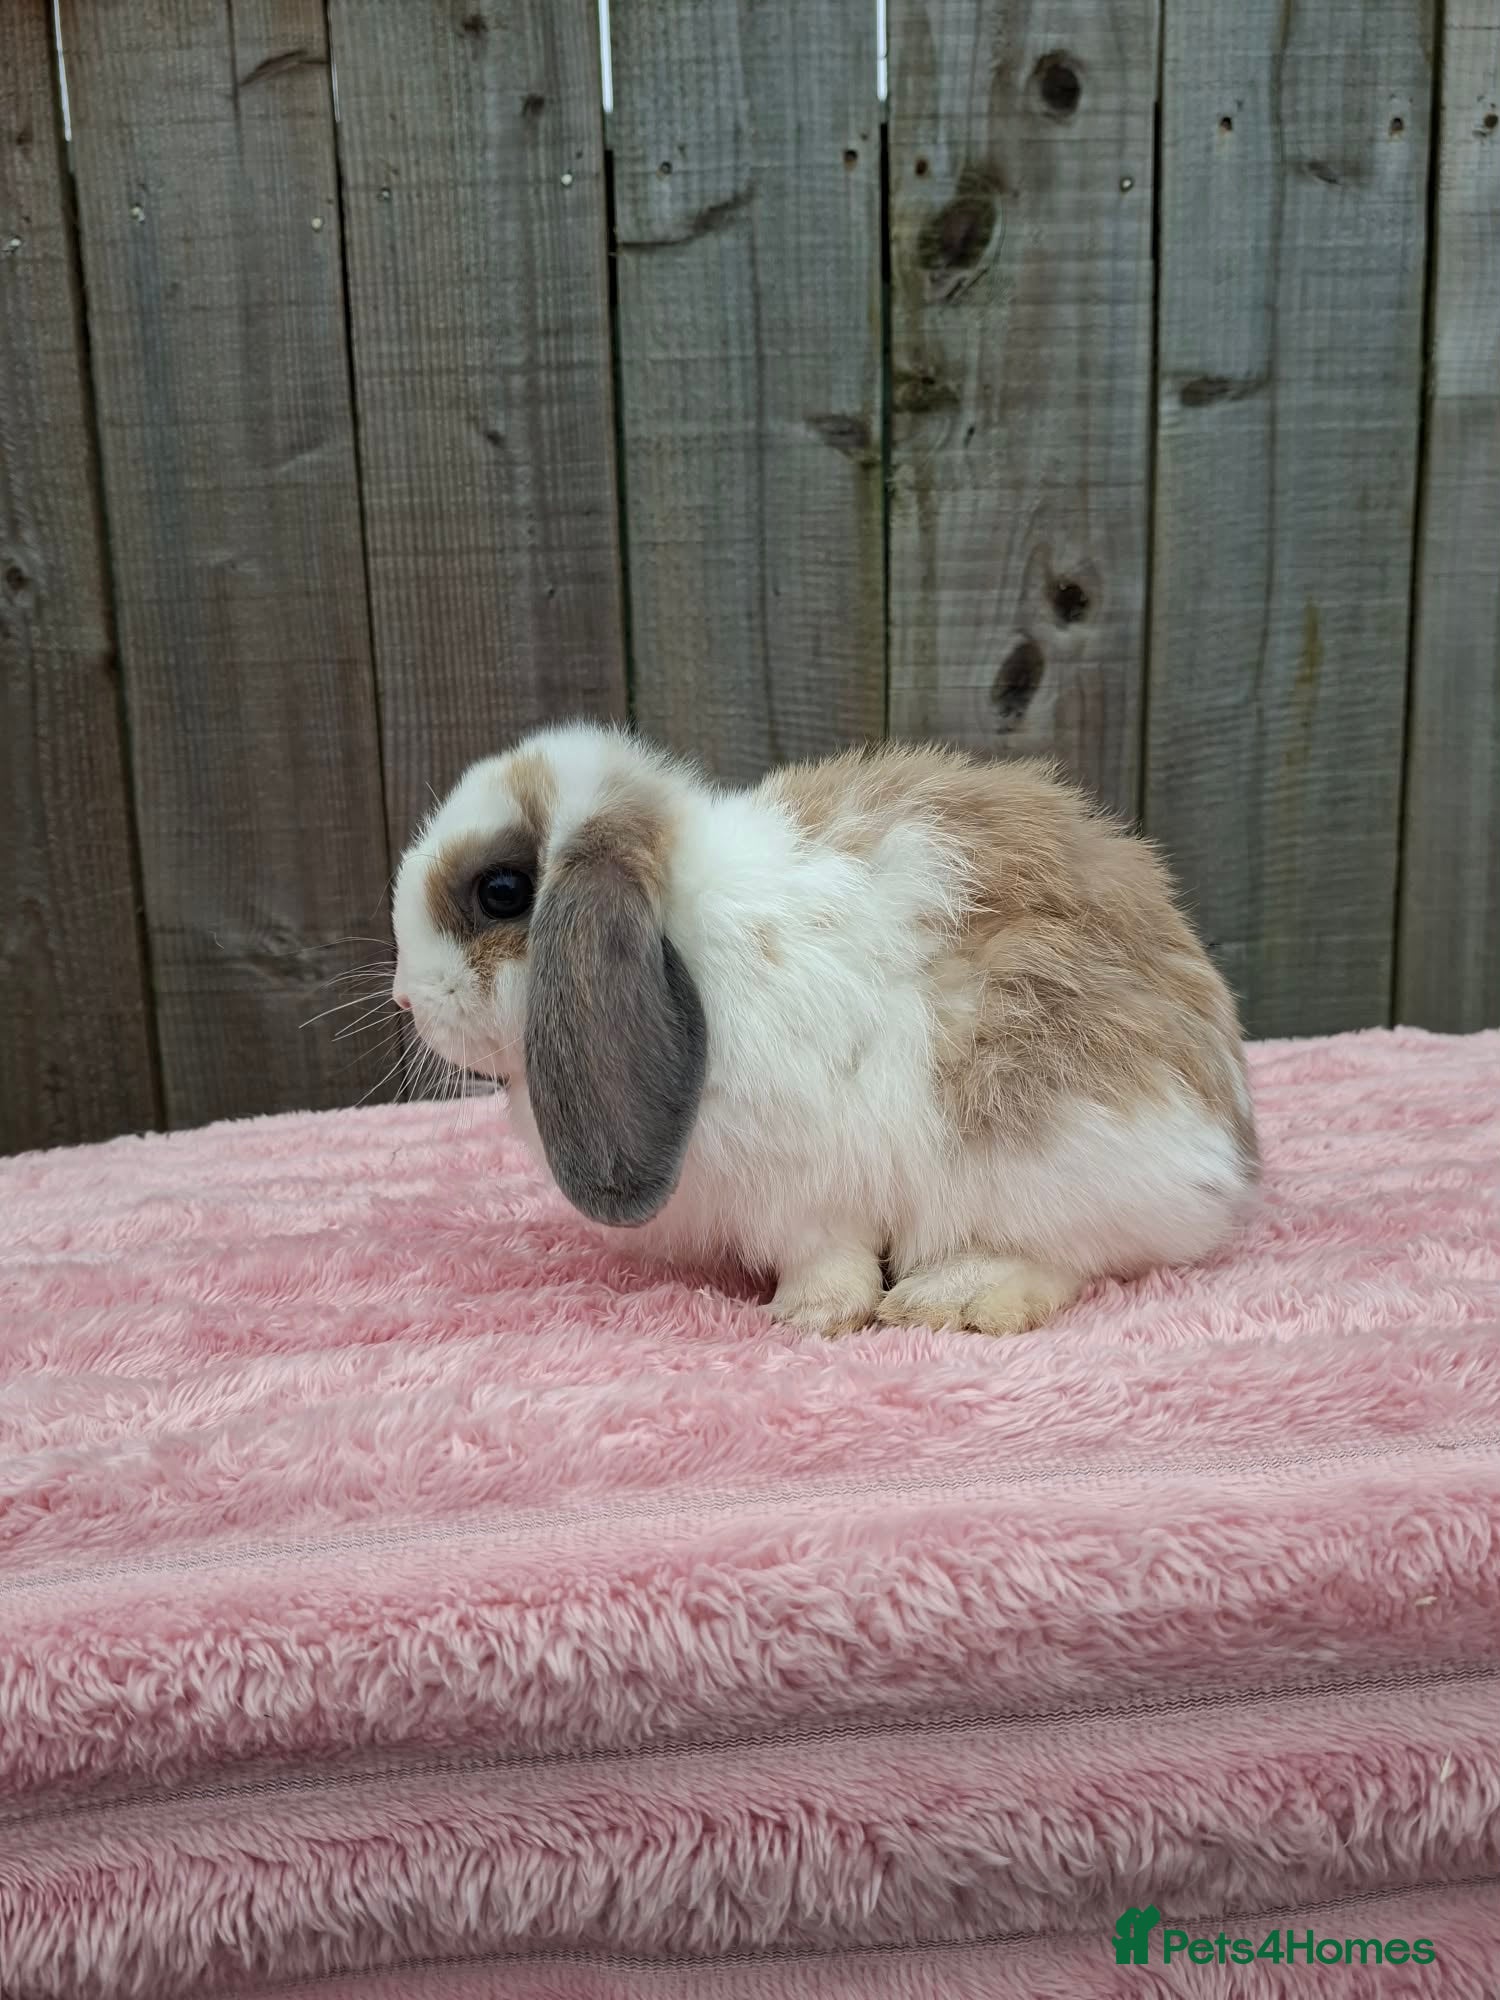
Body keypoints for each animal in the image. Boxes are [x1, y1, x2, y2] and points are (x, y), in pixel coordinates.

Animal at [391, 722, 1258, 1337]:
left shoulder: (805, 1183)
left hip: (1045, 1140)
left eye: (502, 892)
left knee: (1077, 1253)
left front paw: (808, 1315)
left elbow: (827, 1255)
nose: (405, 999)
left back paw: (952, 1298)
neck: (683, 932)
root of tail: (1230, 1158)